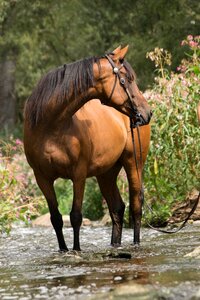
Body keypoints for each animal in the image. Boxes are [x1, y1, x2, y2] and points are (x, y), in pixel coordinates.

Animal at [23, 45, 152, 251]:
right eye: (127, 79)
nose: (147, 113)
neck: (51, 126)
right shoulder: (42, 178)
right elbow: (56, 218)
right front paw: (64, 250)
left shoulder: (79, 174)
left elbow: (76, 216)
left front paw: (76, 250)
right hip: (106, 173)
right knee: (117, 208)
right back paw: (115, 246)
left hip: (134, 163)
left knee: (136, 205)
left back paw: (136, 244)